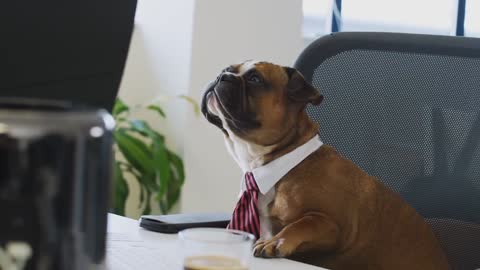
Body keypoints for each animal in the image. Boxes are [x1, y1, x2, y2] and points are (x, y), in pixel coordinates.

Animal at [200, 60, 450, 268]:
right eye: (228, 69)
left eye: (255, 79)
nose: (222, 75)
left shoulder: (333, 226)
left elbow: (303, 223)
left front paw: (276, 242)